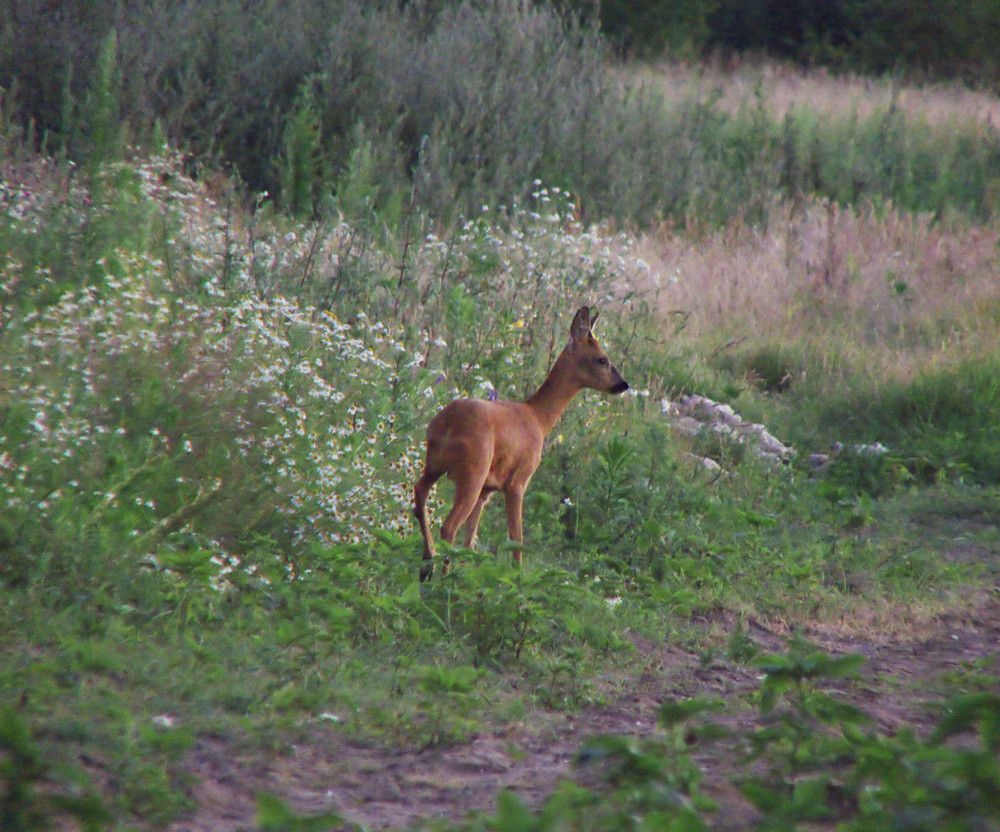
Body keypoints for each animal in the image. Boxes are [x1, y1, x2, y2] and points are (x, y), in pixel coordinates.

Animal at [412, 304, 624, 580]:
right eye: (602, 359)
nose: (623, 384)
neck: (538, 417)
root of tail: (447, 424)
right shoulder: (518, 481)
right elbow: (517, 541)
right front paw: (516, 579)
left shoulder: (487, 490)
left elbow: (471, 540)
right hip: (473, 471)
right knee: (449, 526)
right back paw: (440, 575)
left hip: (436, 464)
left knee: (420, 496)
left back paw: (428, 565)